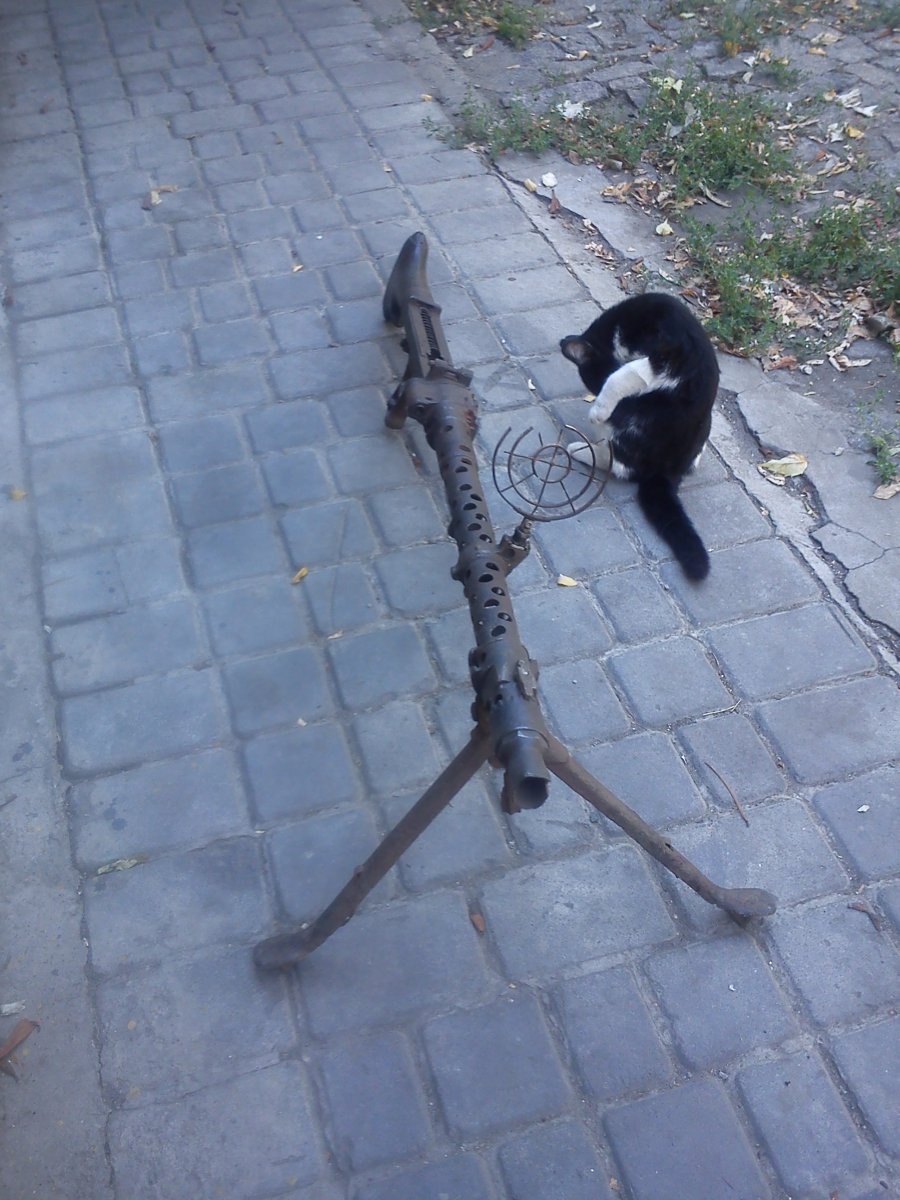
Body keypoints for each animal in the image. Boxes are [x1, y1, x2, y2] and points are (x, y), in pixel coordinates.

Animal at [560, 291, 719, 581]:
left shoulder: (664, 356)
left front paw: (598, 408)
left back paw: (581, 449)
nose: (596, 395)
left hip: (635, 418)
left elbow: (626, 374)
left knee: (622, 465)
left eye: (598, 381)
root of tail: (667, 470)